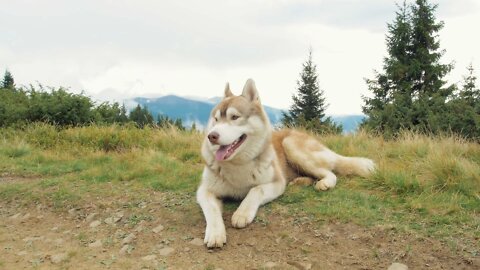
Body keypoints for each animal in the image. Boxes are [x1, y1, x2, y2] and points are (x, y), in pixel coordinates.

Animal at [196, 78, 376, 247]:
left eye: (234, 117)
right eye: (216, 119)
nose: (211, 136)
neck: (238, 165)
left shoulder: (276, 183)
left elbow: (255, 190)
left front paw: (242, 212)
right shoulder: (204, 191)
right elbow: (212, 210)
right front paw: (215, 233)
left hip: (291, 145)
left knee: (329, 172)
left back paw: (324, 183)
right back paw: (300, 181)